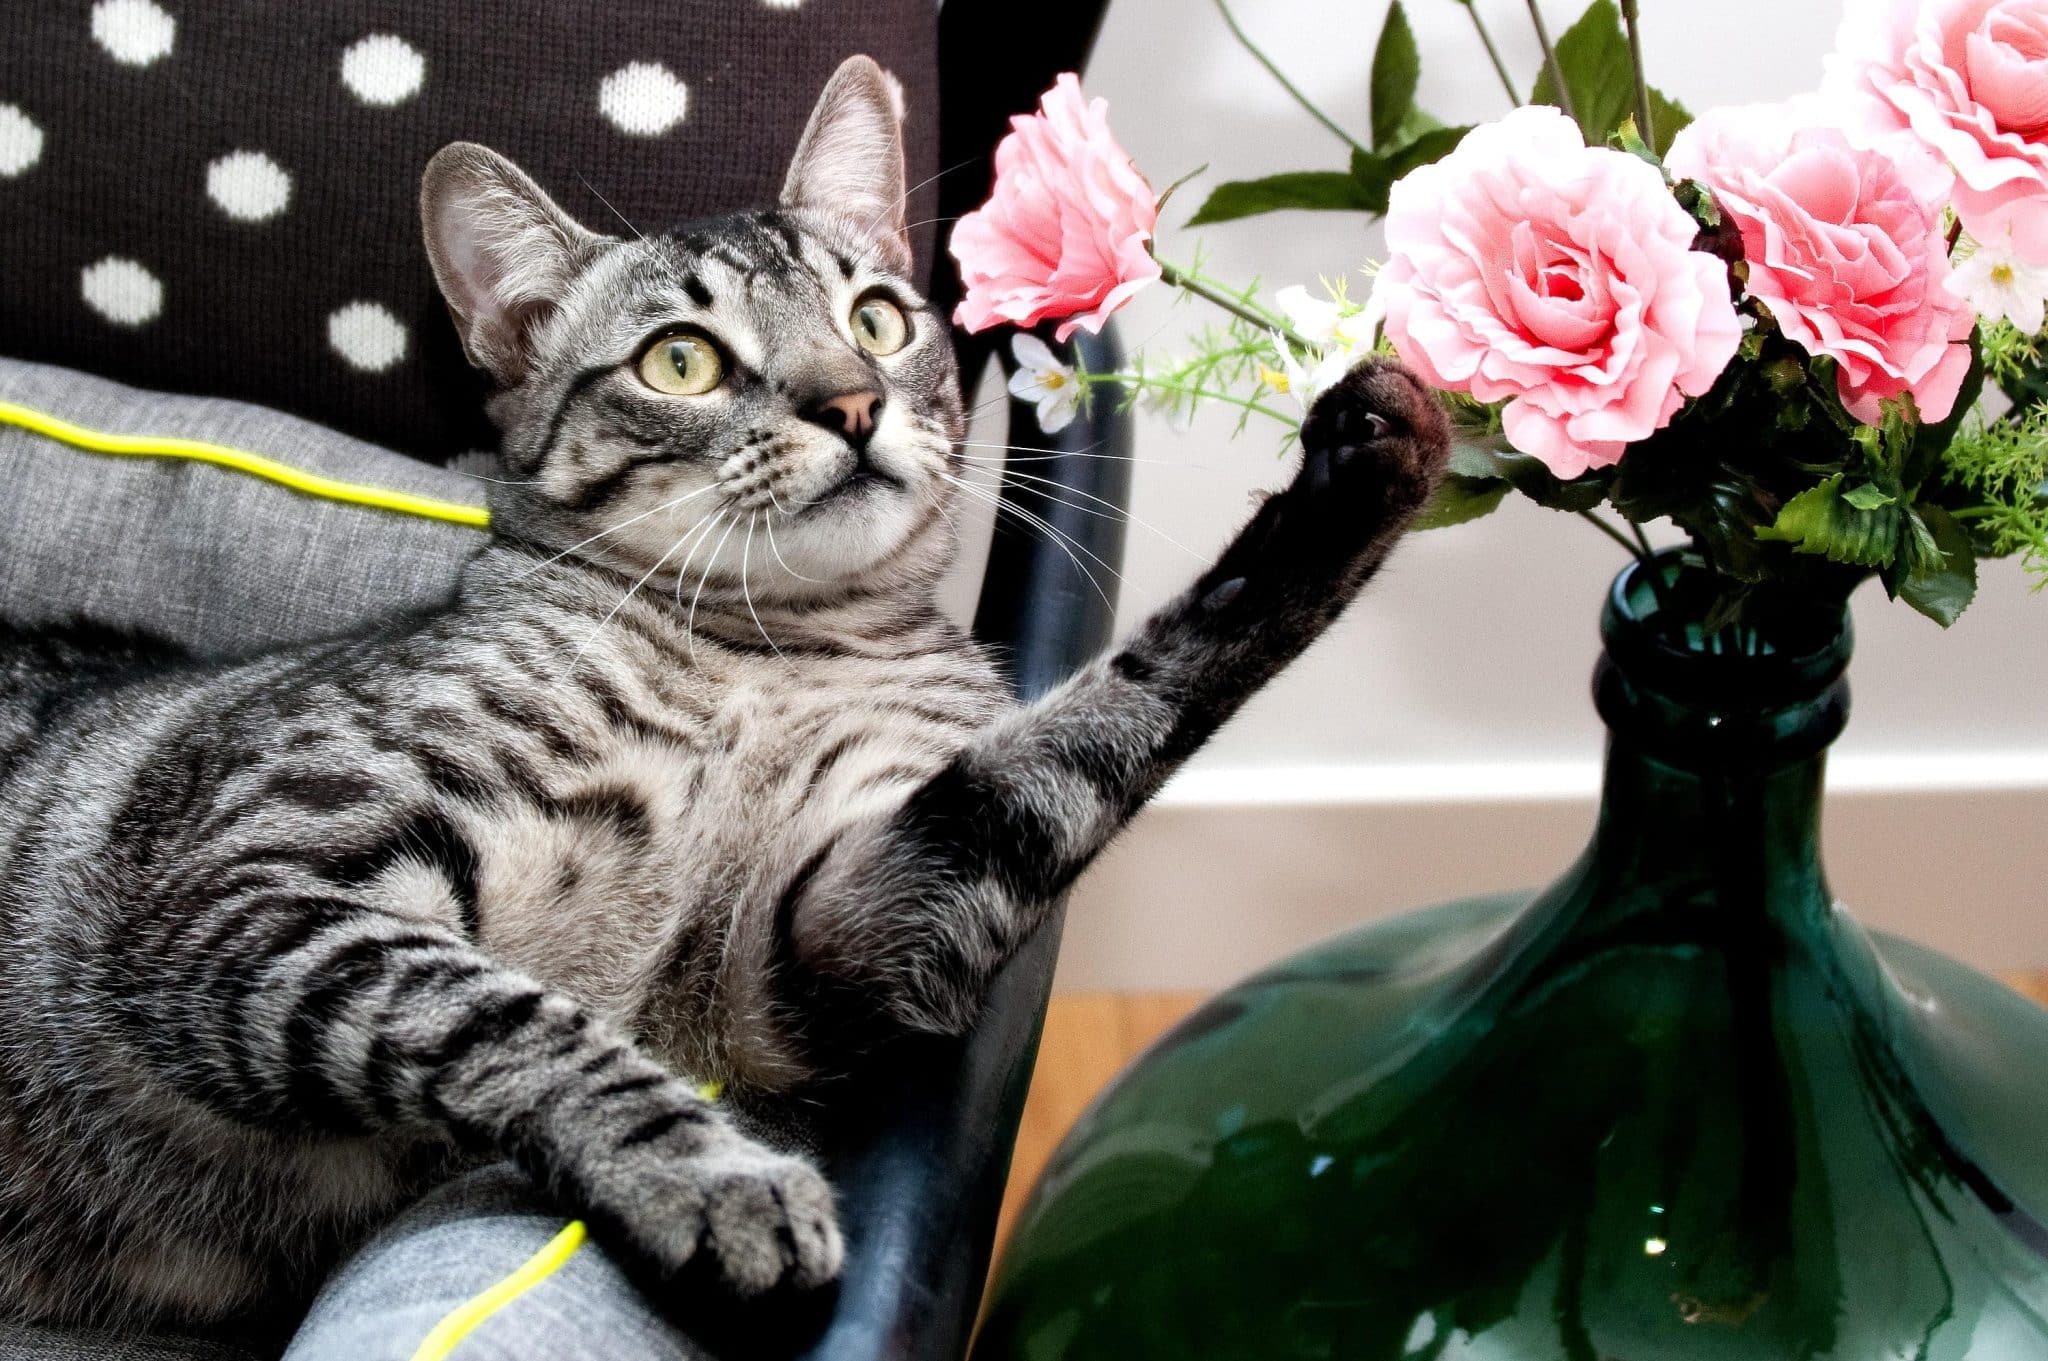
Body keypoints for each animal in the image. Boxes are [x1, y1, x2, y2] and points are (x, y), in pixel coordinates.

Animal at [0, 58, 1449, 1318]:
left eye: (877, 318)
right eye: (681, 361)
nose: (851, 402)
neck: (767, 657)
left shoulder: (826, 931)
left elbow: (1089, 729)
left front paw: (1359, 476)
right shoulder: (243, 876)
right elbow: (501, 1012)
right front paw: (710, 1174)